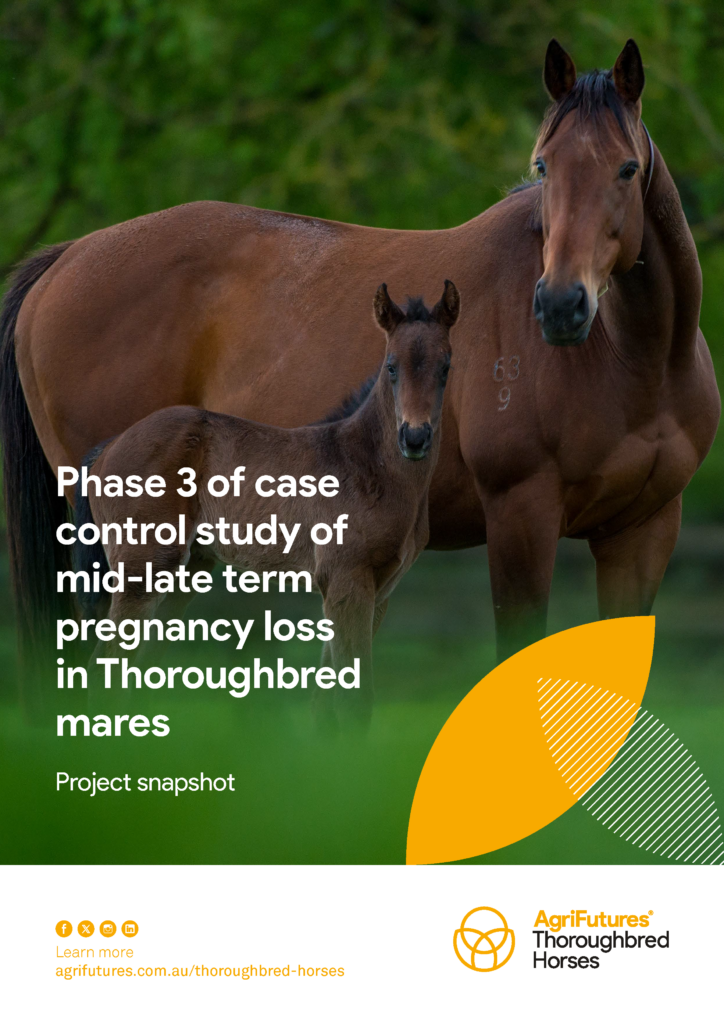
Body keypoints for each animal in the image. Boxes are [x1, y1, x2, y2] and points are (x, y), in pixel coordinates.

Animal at [72, 282, 459, 724]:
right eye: (391, 367)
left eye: (446, 367)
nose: (415, 437)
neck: (366, 464)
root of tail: (108, 447)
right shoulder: (348, 581)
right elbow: (353, 701)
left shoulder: (378, 591)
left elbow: (327, 699)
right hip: (144, 566)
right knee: (108, 664)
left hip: (182, 574)